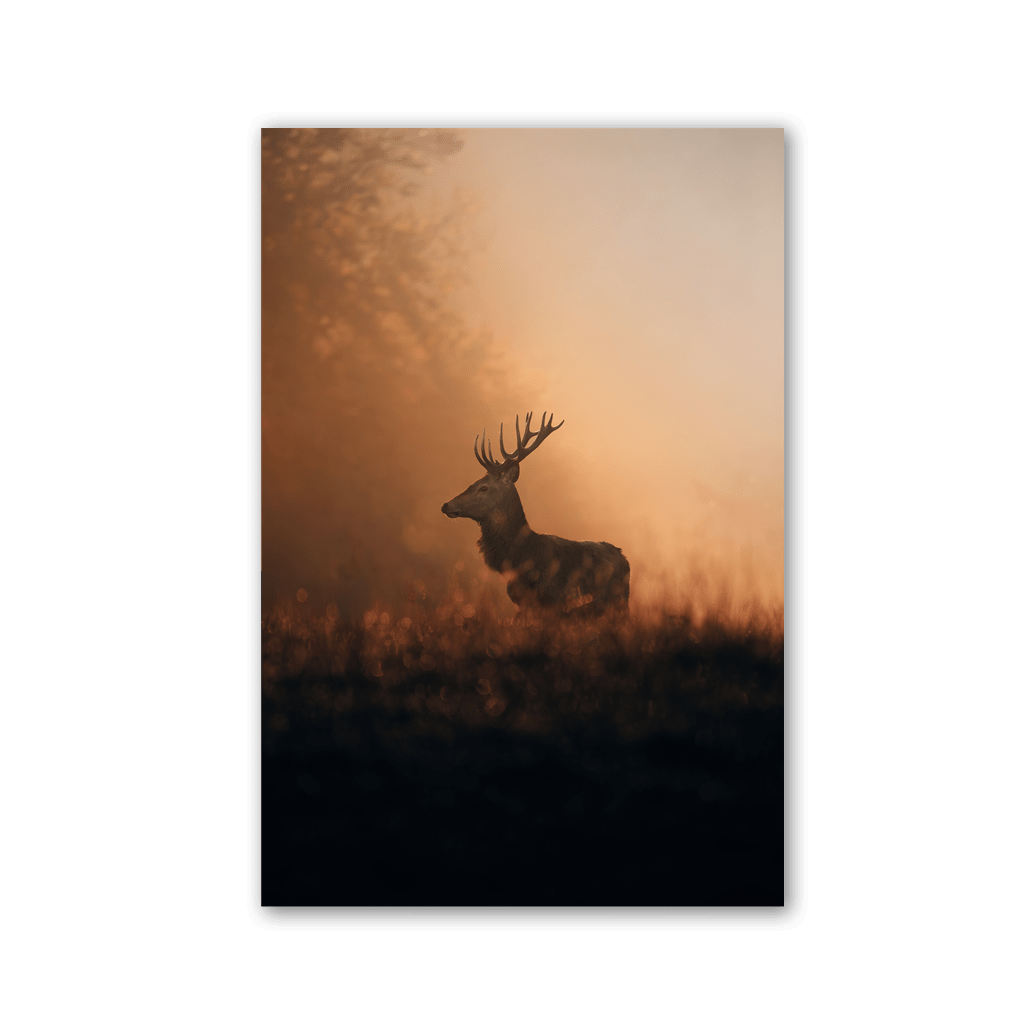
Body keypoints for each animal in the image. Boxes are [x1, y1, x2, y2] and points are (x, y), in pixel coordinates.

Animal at [441, 412, 630, 617]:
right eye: (474, 482)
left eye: (484, 487)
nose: (446, 505)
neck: (523, 558)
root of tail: (623, 557)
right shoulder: (522, 603)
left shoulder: (555, 600)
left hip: (618, 601)